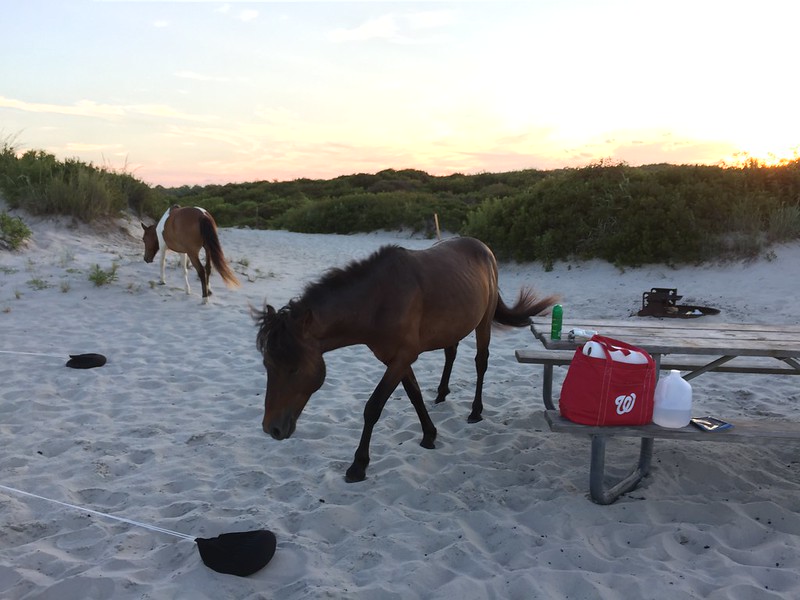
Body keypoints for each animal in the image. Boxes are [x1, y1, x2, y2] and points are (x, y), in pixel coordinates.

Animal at [255, 236, 556, 482]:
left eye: (294, 369)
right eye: (268, 365)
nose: (272, 428)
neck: (379, 301)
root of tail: (484, 249)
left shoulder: (402, 357)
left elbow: (373, 407)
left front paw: (358, 465)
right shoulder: (396, 359)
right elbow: (415, 395)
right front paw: (429, 435)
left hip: (483, 324)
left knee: (481, 363)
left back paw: (475, 411)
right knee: (451, 353)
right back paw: (442, 394)